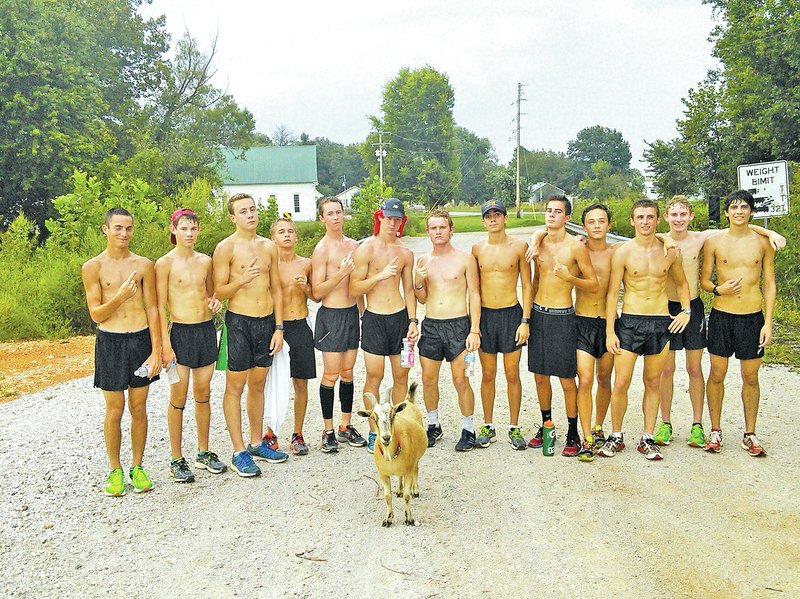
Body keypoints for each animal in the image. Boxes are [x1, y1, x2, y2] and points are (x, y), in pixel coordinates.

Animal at [360, 382, 428, 528]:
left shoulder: (408, 471)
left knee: (416, 470)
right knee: (399, 476)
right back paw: (398, 490)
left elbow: (407, 496)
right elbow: (387, 497)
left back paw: (415, 490)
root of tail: (408, 401)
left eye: (393, 414)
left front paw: (409, 519)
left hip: (416, 460)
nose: (386, 438)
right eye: (373, 417)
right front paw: (388, 519)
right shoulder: (383, 474)